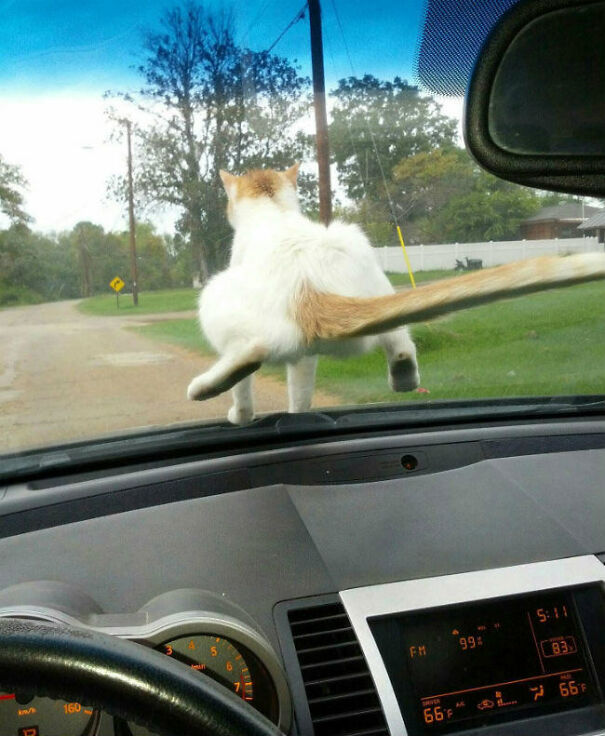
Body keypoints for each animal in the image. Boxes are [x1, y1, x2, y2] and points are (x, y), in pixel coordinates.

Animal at [186, 163, 604, 422]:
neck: (275, 215)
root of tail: (311, 291)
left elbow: (257, 392)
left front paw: (242, 415)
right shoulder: (306, 358)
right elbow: (301, 392)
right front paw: (299, 413)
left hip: (214, 297)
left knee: (248, 355)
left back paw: (205, 388)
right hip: (367, 266)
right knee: (400, 340)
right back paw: (404, 376)